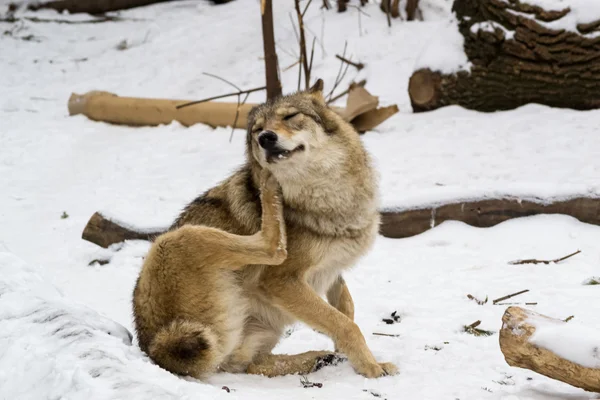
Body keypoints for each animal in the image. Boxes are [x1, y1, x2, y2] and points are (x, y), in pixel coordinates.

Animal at [132, 79, 398, 380]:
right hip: (177, 239)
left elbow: (346, 307)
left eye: (290, 116)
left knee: (253, 365)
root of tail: (156, 350)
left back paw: (318, 358)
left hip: (263, 329)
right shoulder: (282, 281)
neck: (329, 201)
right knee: (272, 246)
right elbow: (345, 324)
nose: (266, 138)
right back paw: (269, 187)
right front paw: (372, 368)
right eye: (257, 130)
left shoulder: (334, 270)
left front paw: (351, 356)